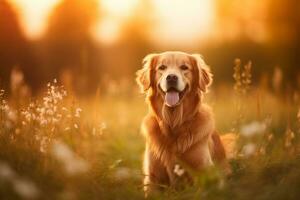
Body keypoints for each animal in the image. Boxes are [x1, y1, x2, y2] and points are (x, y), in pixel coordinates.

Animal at [136, 50, 234, 195]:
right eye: (162, 67)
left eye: (184, 67)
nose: (171, 77)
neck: (174, 124)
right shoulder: (152, 177)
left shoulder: (207, 173)